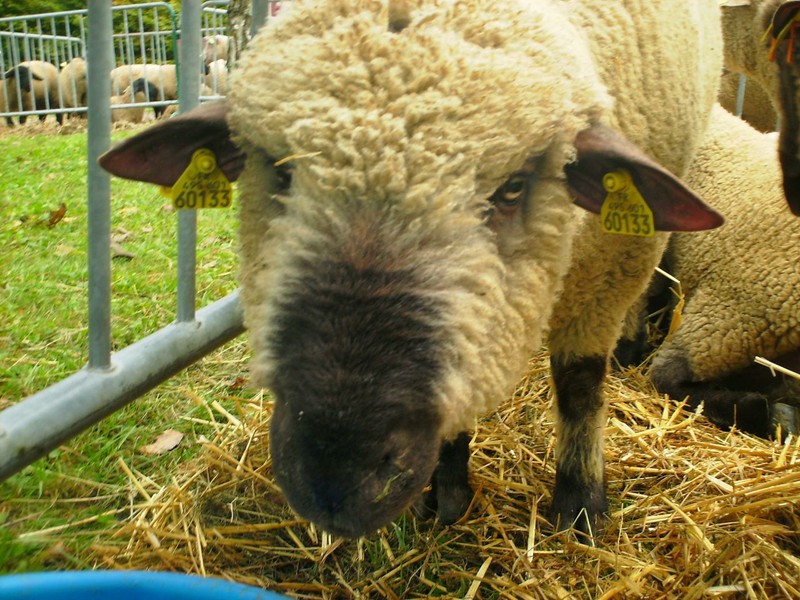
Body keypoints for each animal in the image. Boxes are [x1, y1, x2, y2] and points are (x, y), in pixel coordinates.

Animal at [97, 0, 720, 540]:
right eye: (279, 170)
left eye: (514, 187)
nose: (337, 479)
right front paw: (447, 491)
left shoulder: (611, 269)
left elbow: (580, 384)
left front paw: (580, 508)